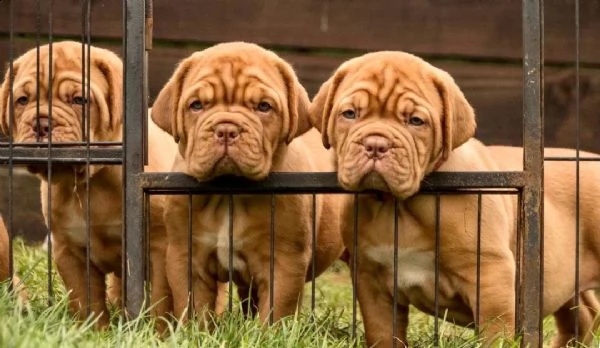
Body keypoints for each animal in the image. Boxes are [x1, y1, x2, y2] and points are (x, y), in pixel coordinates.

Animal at [0, 41, 177, 328]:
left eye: (79, 100)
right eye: (22, 101)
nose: (41, 123)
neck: (91, 182)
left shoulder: (160, 249)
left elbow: (163, 301)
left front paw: (161, 332)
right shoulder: (70, 251)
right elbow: (86, 299)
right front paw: (95, 331)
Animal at [152, 42, 344, 324]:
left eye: (264, 107)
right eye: (196, 105)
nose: (226, 129)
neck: (230, 190)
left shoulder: (284, 264)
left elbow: (275, 315)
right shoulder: (187, 258)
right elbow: (194, 309)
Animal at [310, 51, 600, 346]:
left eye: (416, 121)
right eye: (349, 114)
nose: (376, 144)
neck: (400, 205)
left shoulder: (491, 276)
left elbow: (494, 334)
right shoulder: (373, 282)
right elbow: (382, 334)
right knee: (584, 313)